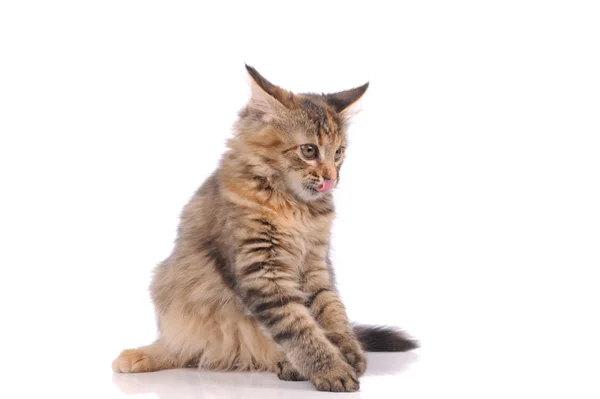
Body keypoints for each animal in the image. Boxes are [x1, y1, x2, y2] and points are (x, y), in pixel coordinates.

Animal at [112, 65, 418, 394]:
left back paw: (289, 367)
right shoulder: (263, 271)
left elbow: (331, 311)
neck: (296, 208)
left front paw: (348, 352)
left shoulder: (316, 267)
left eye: (338, 153)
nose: (331, 178)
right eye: (309, 150)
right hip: (171, 290)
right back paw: (138, 357)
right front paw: (331, 368)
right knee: (185, 348)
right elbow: (299, 327)